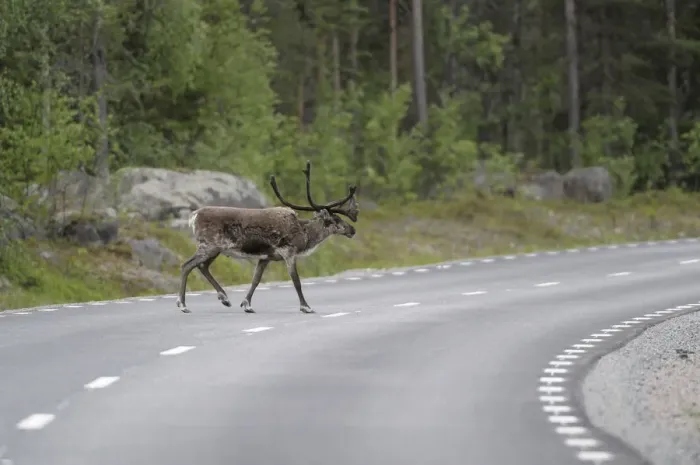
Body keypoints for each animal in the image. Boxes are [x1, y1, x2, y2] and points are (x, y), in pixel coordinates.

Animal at [175, 160, 359, 315]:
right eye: (336, 219)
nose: (353, 230)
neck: (304, 234)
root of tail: (194, 215)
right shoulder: (288, 252)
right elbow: (296, 281)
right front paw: (306, 307)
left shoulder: (266, 257)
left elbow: (256, 280)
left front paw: (247, 304)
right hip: (209, 246)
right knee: (187, 265)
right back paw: (183, 304)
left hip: (216, 249)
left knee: (202, 266)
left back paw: (224, 298)